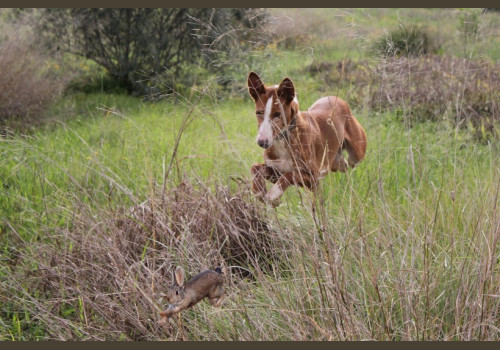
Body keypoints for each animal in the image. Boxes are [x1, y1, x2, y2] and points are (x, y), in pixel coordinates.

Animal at [248, 72, 366, 206]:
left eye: (278, 114)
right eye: (258, 113)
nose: (262, 142)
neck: (284, 139)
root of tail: (337, 98)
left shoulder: (313, 179)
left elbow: (289, 175)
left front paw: (273, 195)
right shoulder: (276, 173)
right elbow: (255, 168)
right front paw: (259, 191)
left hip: (356, 155)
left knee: (350, 163)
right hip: (335, 162)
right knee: (342, 164)